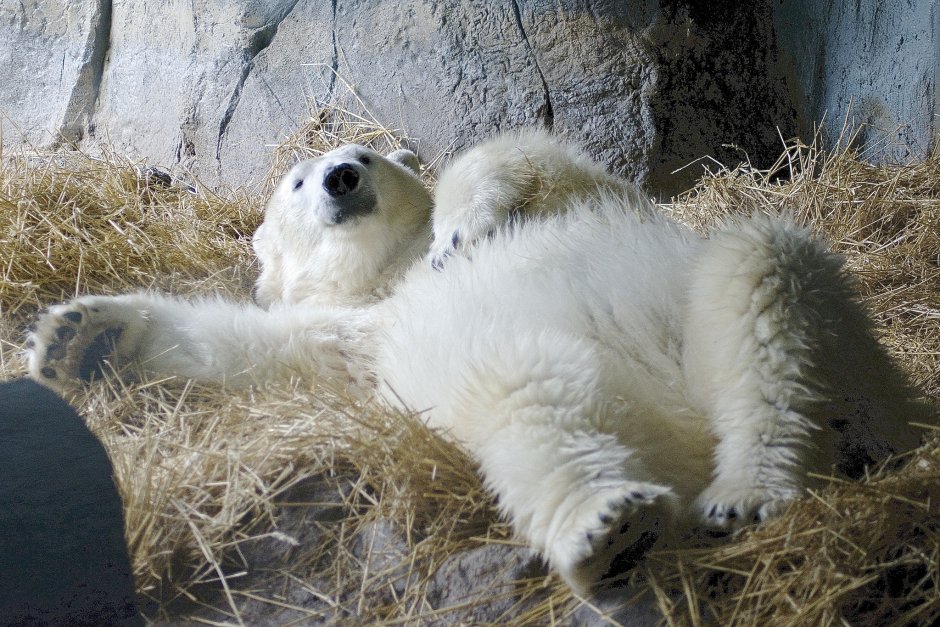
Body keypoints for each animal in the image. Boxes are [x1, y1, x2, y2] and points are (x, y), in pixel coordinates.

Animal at [26, 129, 931, 595]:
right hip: (541, 390)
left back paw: (749, 487)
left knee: (763, 279)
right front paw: (76, 336)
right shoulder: (354, 339)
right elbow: (251, 352)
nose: (340, 175)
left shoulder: (595, 199)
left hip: (765, 318)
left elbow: (531, 161)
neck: (389, 274)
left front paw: (463, 226)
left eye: (364, 149)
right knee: (529, 402)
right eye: (293, 181)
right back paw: (610, 523)